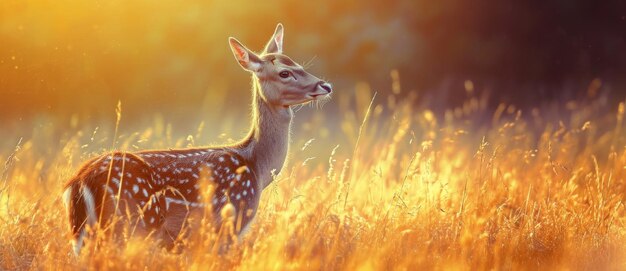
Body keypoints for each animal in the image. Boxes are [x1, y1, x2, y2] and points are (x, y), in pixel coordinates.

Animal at [62, 23, 332, 258]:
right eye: (284, 73)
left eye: (300, 65)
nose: (325, 85)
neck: (257, 167)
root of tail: (79, 182)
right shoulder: (226, 225)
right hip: (129, 226)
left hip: (85, 236)